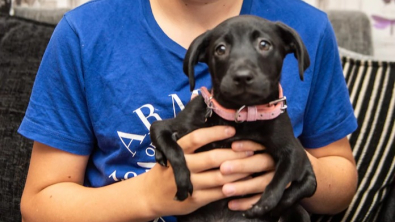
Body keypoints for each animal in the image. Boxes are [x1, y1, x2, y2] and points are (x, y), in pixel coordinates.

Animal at [150, 15, 318, 222]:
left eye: (264, 44)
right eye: (220, 49)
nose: (242, 76)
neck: (241, 116)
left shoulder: (293, 150)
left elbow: (282, 180)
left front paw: (263, 204)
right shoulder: (165, 126)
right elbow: (174, 149)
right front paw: (182, 180)